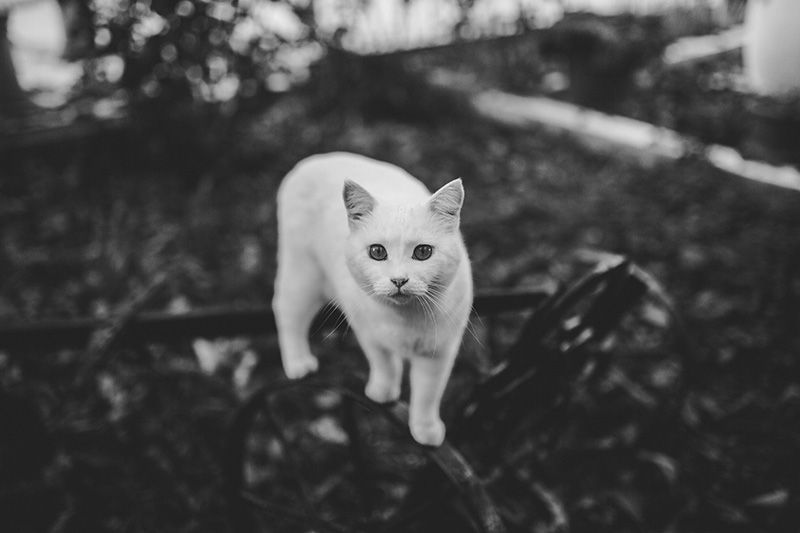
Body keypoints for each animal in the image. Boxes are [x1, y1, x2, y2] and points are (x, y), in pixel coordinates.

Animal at [276, 152, 476, 446]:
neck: (403, 319)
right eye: (378, 252)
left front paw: (425, 429)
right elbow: (384, 362)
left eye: (423, 252)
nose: (399, 280)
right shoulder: (366, 330)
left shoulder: (438, 351)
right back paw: (299, 364)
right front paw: (382, 392)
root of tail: (311, 161)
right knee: (286, 313)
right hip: (303, 276)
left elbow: (428, 393)